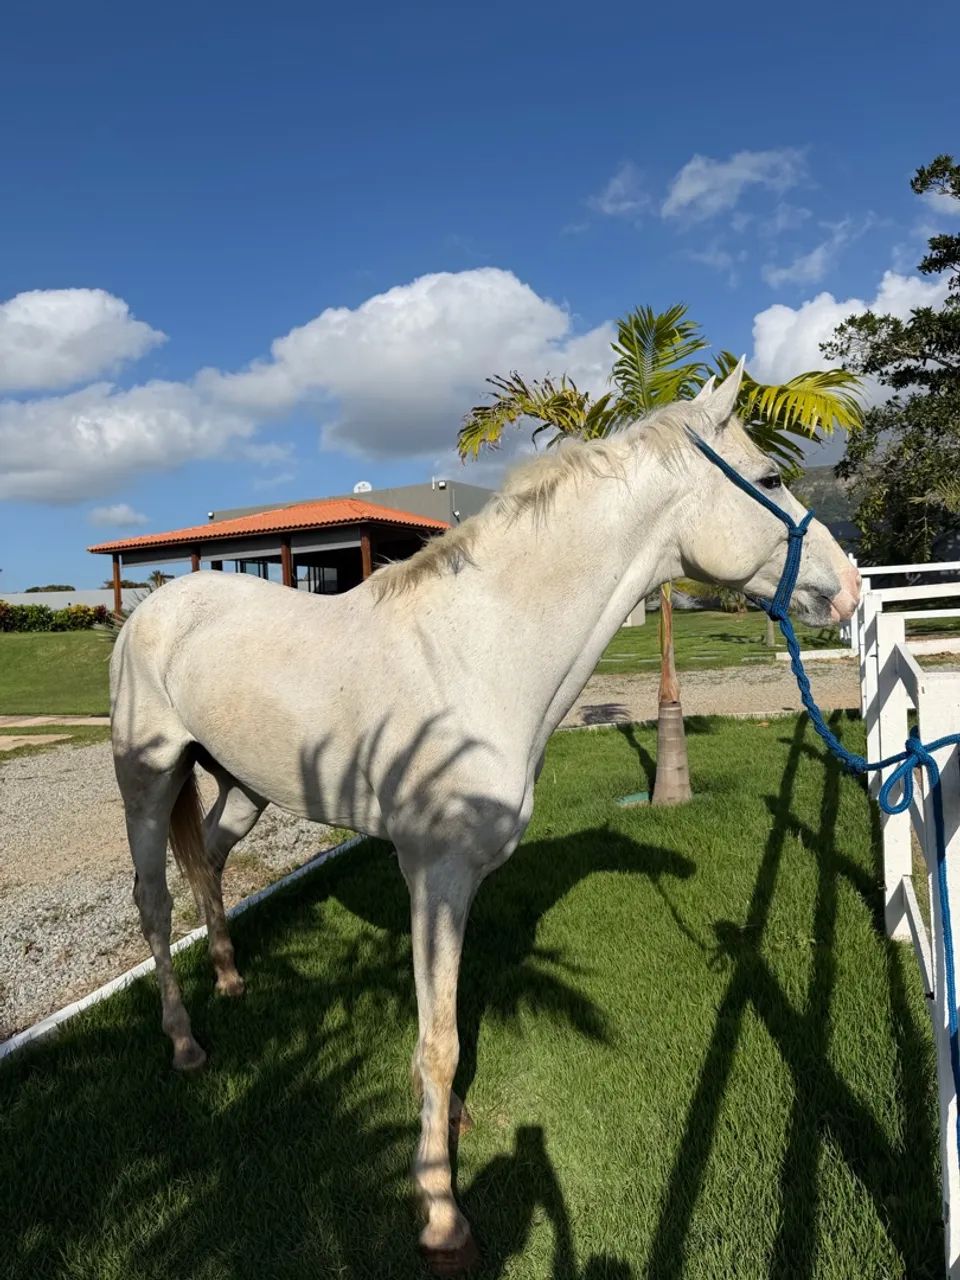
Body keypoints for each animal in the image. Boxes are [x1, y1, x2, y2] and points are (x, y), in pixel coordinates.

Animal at [109, 361, 860, 1272]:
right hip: (148, 778)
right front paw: (441, 1212)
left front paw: (450, 1131)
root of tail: (154, 605)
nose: (851, 587)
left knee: (209, 865)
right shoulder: (435, 873)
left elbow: (449, 1019)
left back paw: (231, 978)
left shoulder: (456, 885)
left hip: (244, 788)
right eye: (772, 481)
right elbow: (440, 1043)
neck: (479, 652)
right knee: (154, 901)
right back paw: (185, 1041)